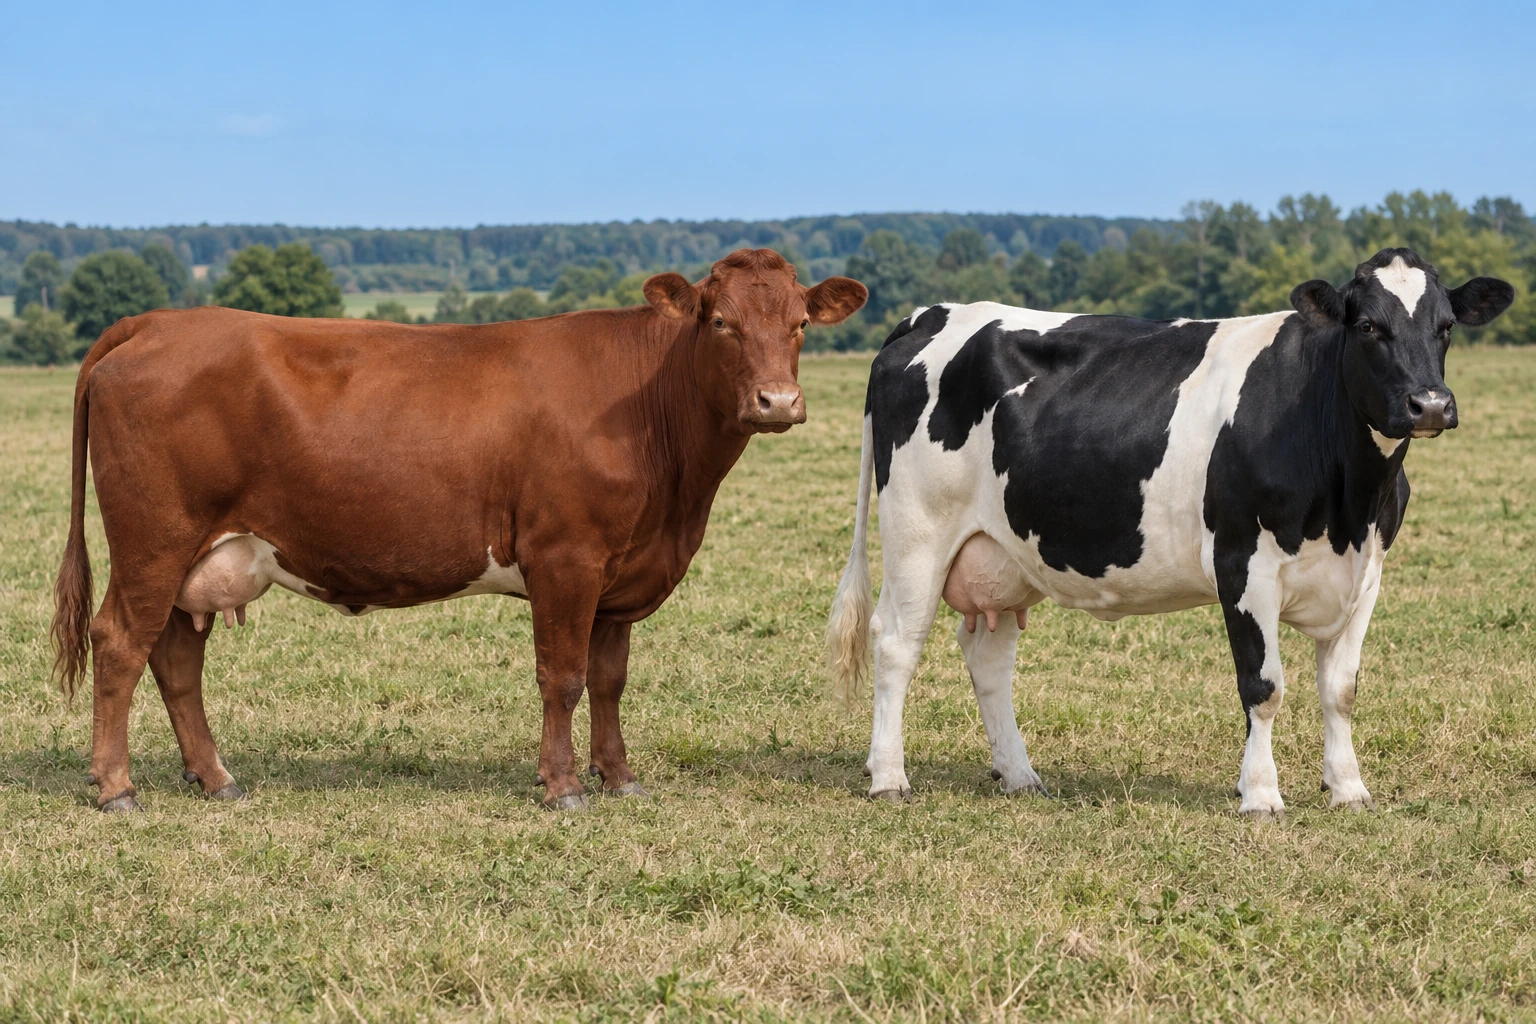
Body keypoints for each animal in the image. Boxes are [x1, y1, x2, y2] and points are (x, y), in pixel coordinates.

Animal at [51, 248, 867, 812]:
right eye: (721, 322)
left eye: (799, 325)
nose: (777, 401)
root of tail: (158, 321)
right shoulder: (565, 558)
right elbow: (563, 676)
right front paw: (563, 787)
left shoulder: (621, 572)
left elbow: (610, 679)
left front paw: (620, 778)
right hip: (154, 542)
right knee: (120, 643)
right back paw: (116, 787)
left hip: (198, 559)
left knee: (175, 661)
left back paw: (217, 778)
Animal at [826, 248, 1513, 816]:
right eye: (1368, 326)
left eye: (1446, 326)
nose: (1430, 405)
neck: (1350, 502)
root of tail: (929, 314)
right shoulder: (1244, 564)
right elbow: (1263, 686)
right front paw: (1260, 794)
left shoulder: (1366, 572)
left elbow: (1340, 691)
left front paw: (1348, 789)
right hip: (918, 530)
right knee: (896, 641)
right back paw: (888, 777)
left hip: (1004, 552)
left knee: (988, 656)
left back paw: (1020, 776)